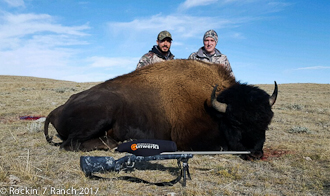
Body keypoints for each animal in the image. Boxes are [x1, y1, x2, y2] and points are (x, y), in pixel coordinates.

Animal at [43, 59, 276, 159]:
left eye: (267, 123)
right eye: (236, 122)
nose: (256, 153)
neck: (213, 108)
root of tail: (58, 109)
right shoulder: (188, 140)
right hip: (103, 112)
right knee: (70, 144)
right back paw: (117, 144)